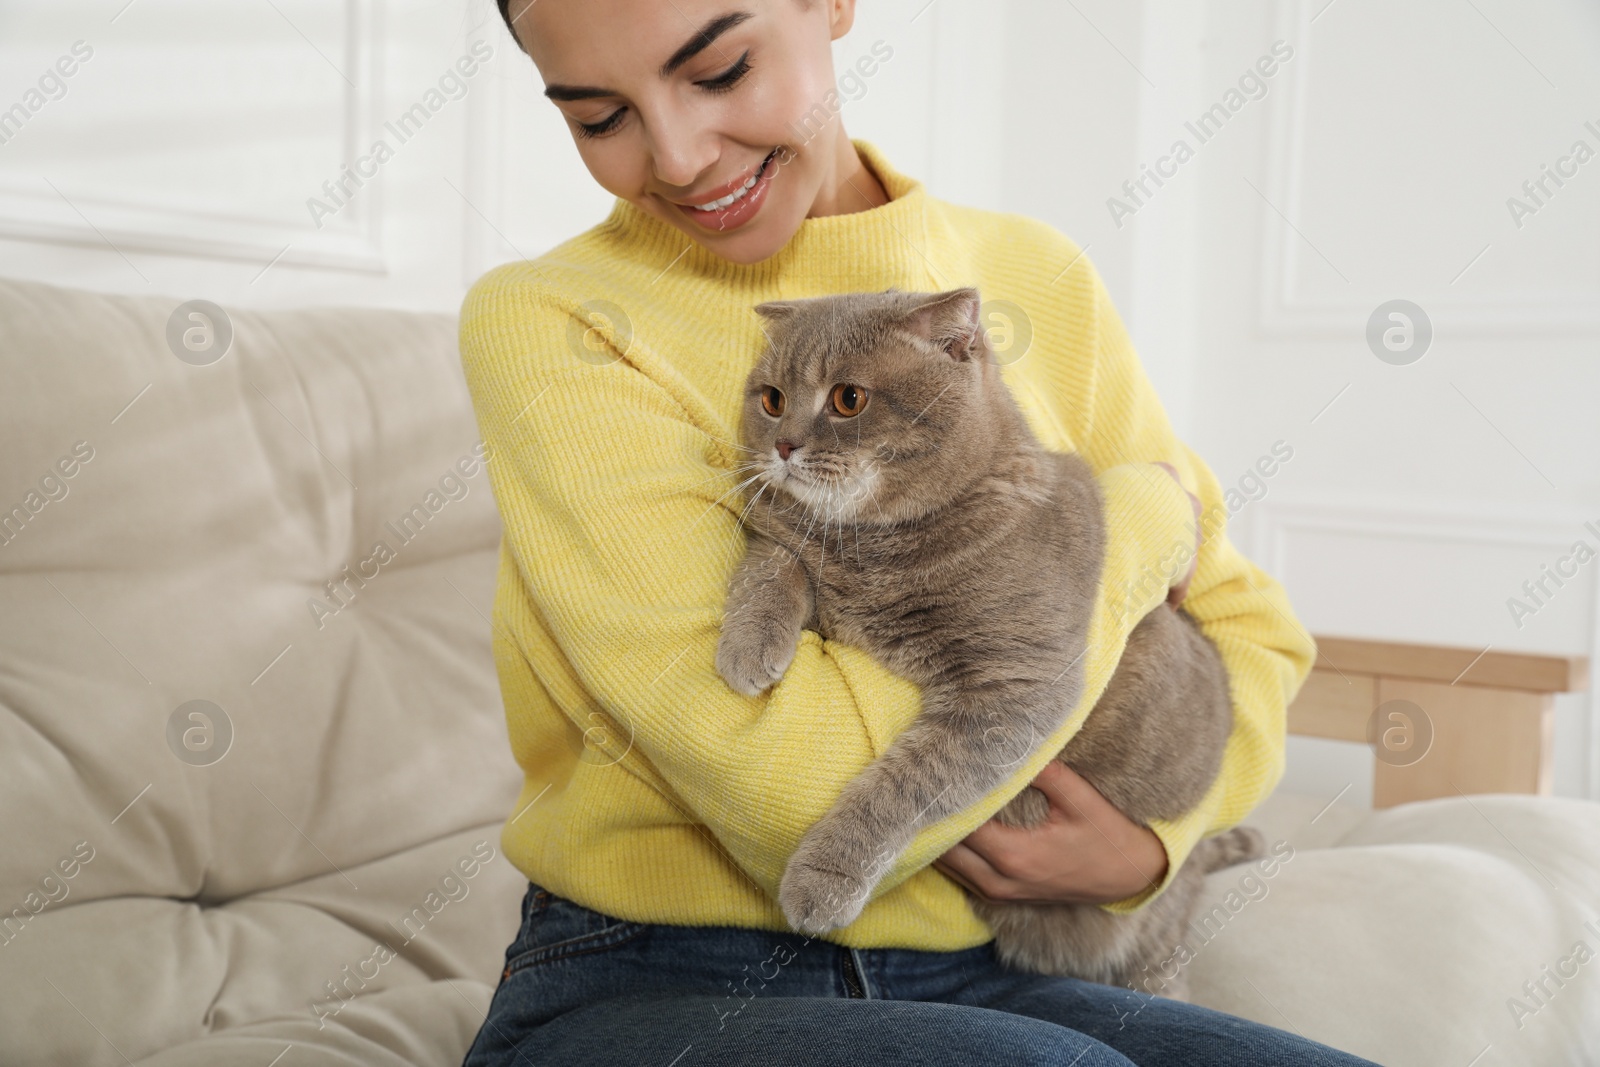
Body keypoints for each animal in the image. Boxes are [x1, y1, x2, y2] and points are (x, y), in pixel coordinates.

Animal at [716, 286, 1260, 1004]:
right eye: (772, 398)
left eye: (848, 399)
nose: (782, 444)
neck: (872, 553)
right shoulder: (792, 544)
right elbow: (773, 559)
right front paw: (748, 645)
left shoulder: (1013, 692)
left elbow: (897, 787)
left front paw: (822, 880)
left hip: (1156, 948)